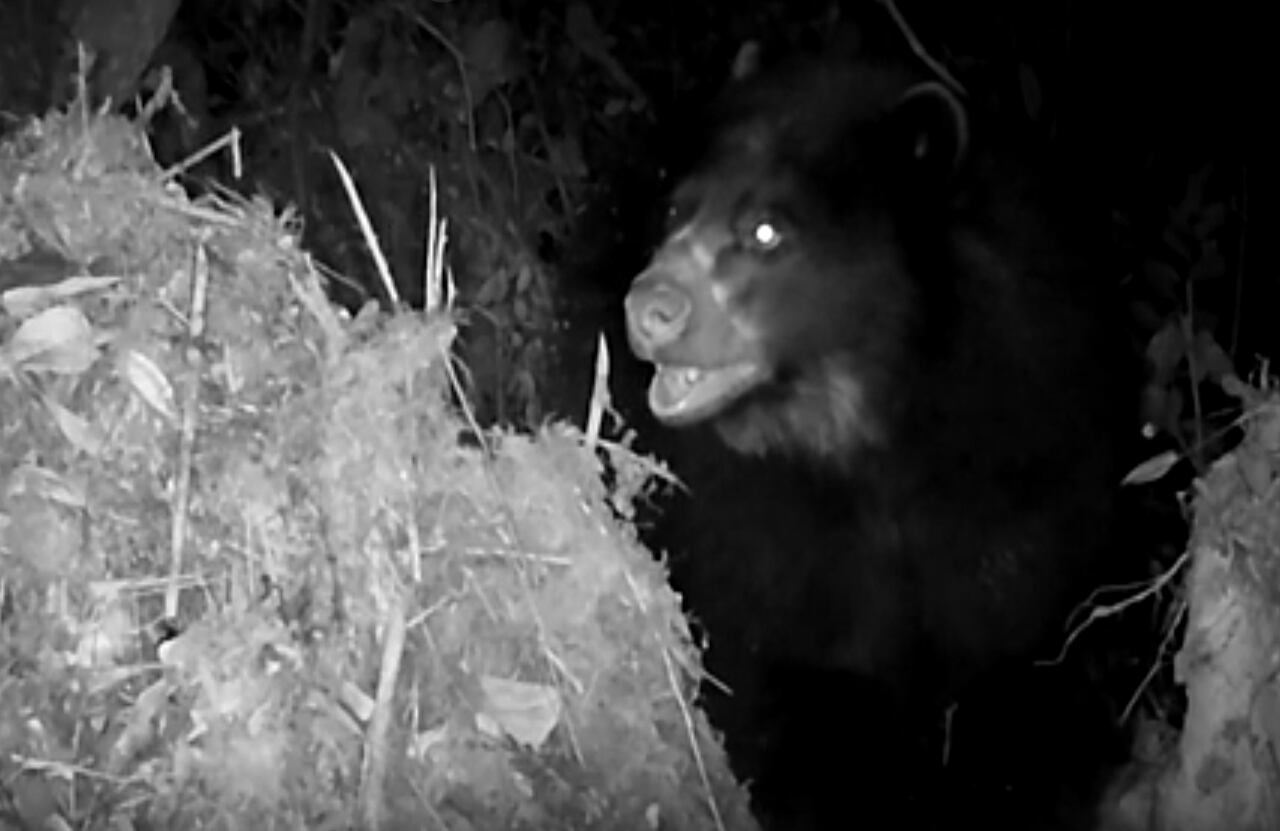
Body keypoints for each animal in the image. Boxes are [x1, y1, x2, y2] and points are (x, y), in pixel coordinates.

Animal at [620, 10, 1138, 831]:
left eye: (766, 231)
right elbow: (780, 676)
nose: (651, 308)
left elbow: (1018, 661)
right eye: (675, 210)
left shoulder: (1027, 476)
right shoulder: (754, 533)